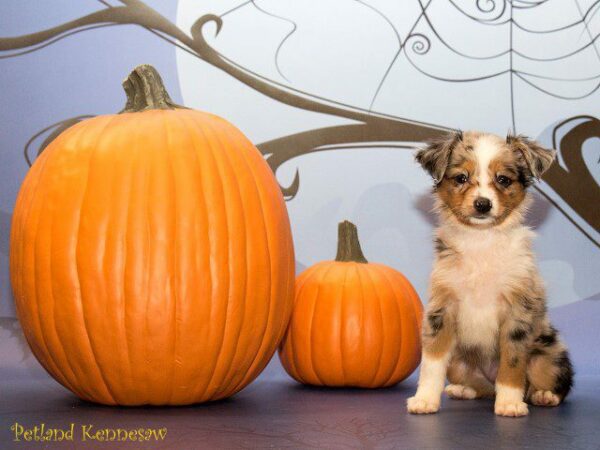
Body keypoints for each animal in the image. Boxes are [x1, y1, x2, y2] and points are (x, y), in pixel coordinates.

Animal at [408, 131, 572, 418]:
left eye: (503, 179)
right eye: (461, 178)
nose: (482, 204)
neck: (481, 239)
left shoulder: (517, 311)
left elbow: (512, 363)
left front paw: (510, 403)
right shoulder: (442, 309)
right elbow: (432, 362)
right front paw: (425, 399)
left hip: (547, 356)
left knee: (554, 382)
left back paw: (543, 395)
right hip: (459, 362)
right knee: (482, 387)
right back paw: (463, 390)